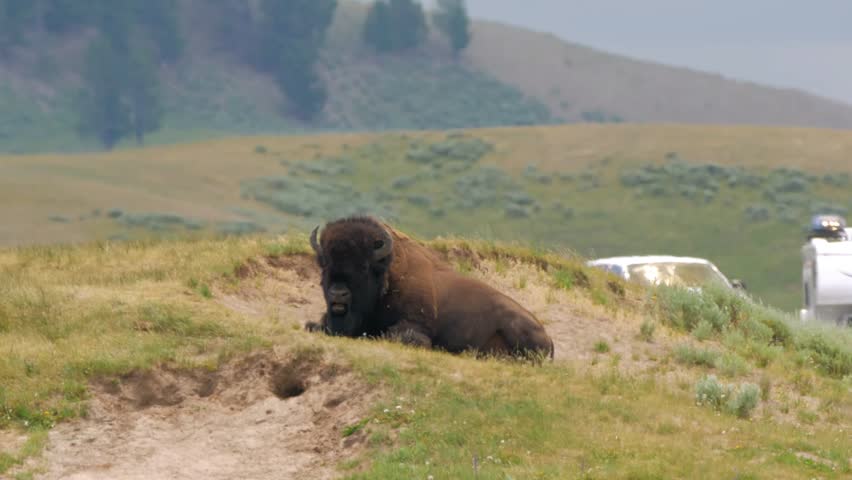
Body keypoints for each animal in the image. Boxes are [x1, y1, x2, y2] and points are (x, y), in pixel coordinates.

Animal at [304, 216, 554, 361]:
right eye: (324, 264)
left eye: (364, 266)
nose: (338, 294)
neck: (388, 275)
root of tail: (548, 338)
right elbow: (312, 325)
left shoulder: (415, 328)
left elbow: (392, 334)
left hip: (516, 326)